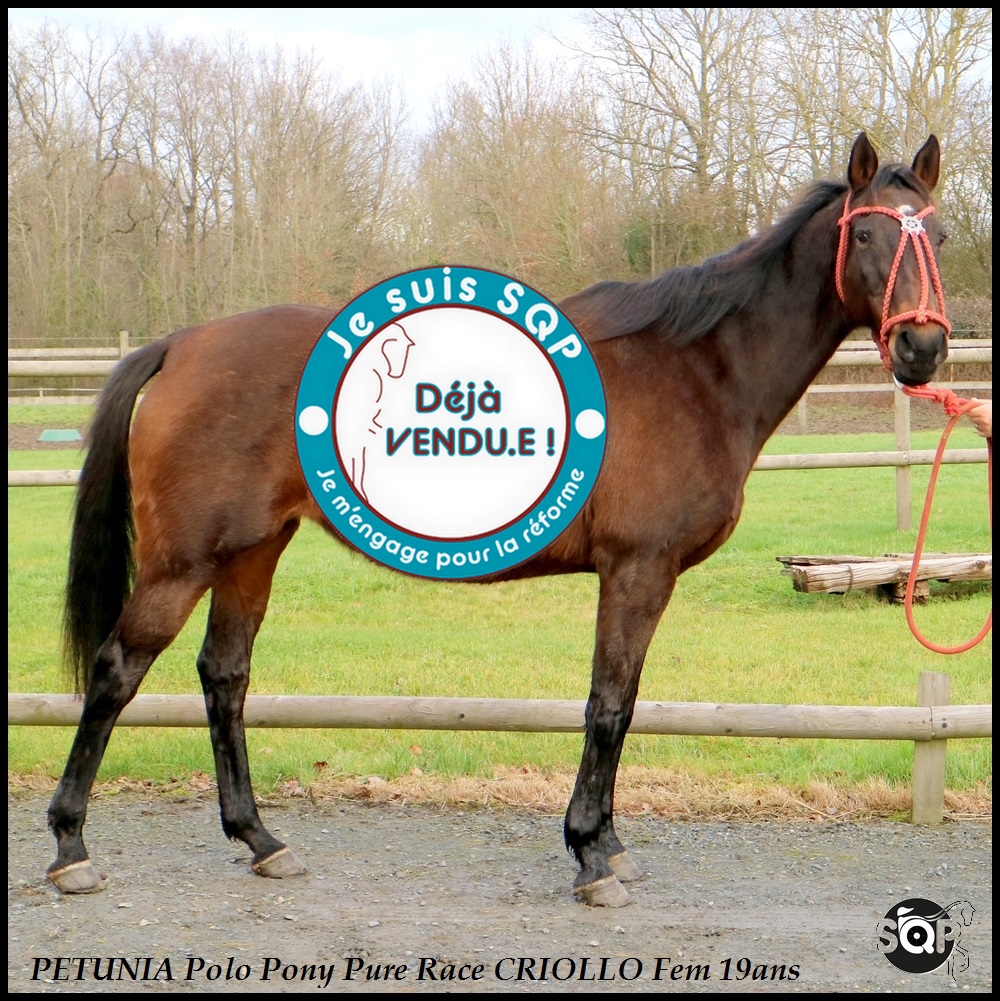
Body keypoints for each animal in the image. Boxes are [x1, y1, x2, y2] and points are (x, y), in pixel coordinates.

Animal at [47, 133, 950, 906]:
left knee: (225, 674)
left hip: (252, 550)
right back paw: (71, 847)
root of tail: (181, 342)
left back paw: (261, 839)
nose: (924, 349)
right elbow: (608, 706)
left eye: (936, 234)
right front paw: (591, 856)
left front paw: (609, 843)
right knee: (118, 669)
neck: (695, 369)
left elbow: (624, 703)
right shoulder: (637, 570)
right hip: (183, 561)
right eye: (870, 233)